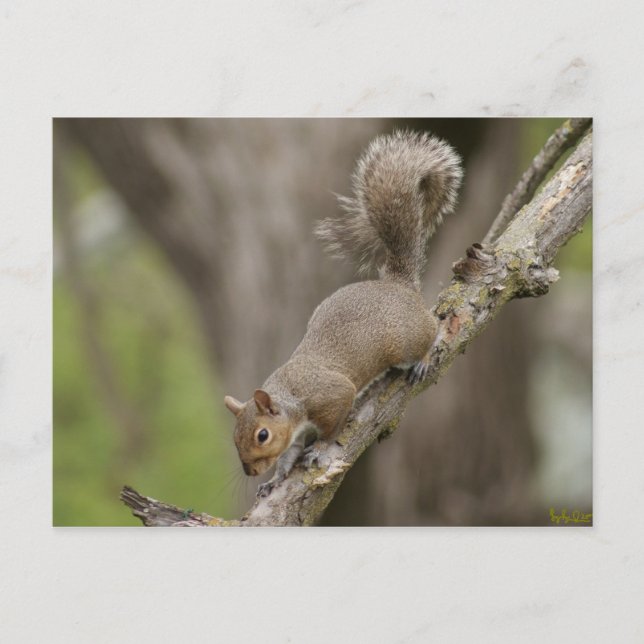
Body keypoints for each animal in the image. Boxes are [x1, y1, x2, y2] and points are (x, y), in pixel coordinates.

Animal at [224, 130, 463, 497]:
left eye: (262, 435)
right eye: (235, 438)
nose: (250, 471)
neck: (291, 396)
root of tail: (398, 286)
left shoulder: (333, 396)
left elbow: (331, 430)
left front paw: (319, 450)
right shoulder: (297, 433)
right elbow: (289, 455)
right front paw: (275, 479)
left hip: (406, 339)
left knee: (430, 330)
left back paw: (423, 359)